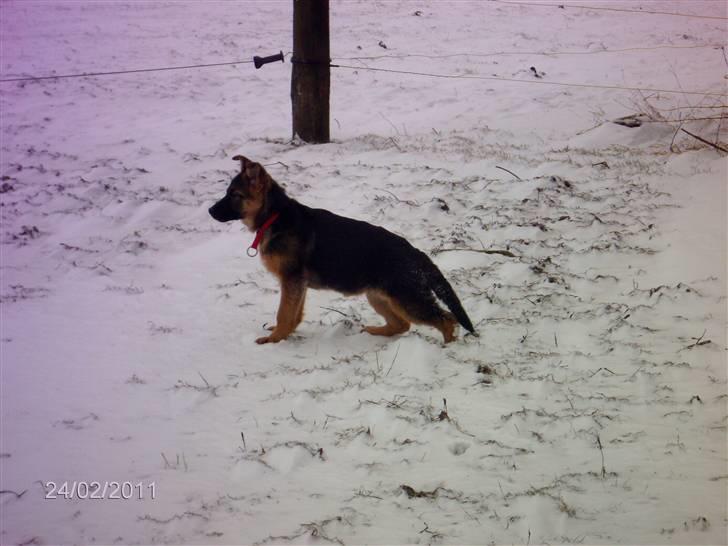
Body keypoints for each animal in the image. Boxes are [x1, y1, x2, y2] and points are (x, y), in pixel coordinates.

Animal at [208, 155, 474, 342]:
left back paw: (447, 347)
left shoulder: (292, 280)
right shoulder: (298, 285)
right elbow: (294, 313)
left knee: (447, 319)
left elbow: (284, 312)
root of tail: (416, 253)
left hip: (407, 299)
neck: (275, 216)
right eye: (228, 193)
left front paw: (274, 339)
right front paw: (284, 334)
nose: (210, 211)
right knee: (402, 325)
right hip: (377, 296)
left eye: (235, 195)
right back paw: (376, 331)